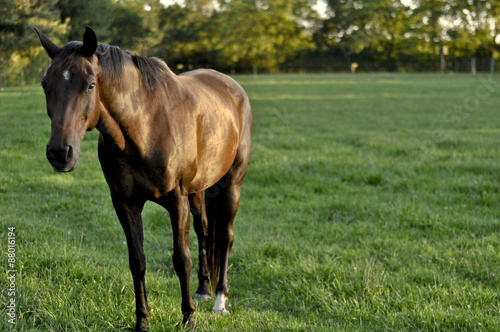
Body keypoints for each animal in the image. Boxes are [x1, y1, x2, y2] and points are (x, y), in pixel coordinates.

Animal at [34, 26, 252, 330]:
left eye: (90, 85)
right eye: (46, 85)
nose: (59, 153)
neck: (145, 127)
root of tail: (233, 87)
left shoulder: (177, 201)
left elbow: (181, 259)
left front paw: (188, 318)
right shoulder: (125, 203)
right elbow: (137, 261)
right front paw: (142, 321)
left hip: (232, 184)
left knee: (224, 238)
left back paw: (220, 300)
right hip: (199, 190)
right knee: (205, 231)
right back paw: (203, 290)